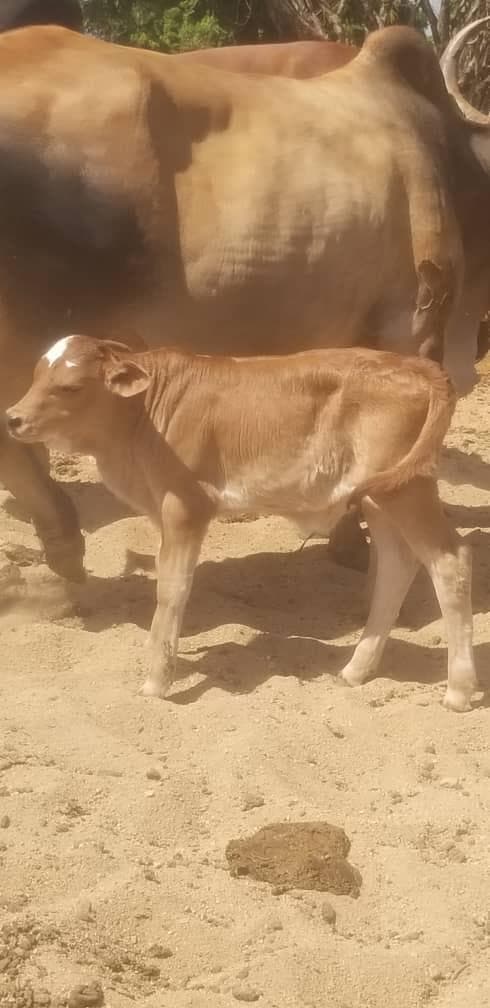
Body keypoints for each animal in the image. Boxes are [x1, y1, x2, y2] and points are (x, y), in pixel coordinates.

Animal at [6, 334, 478, 713]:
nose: (12, 418)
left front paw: (158, 680)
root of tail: (416, 365)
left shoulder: (186, 506)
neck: (139, 422)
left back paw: (459, 689)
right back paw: (357, 669)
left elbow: (172, 589)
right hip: (383, 495)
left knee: (450, 561)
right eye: (36, 375)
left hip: (406, 489)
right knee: (399, 563)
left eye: (70, 387)